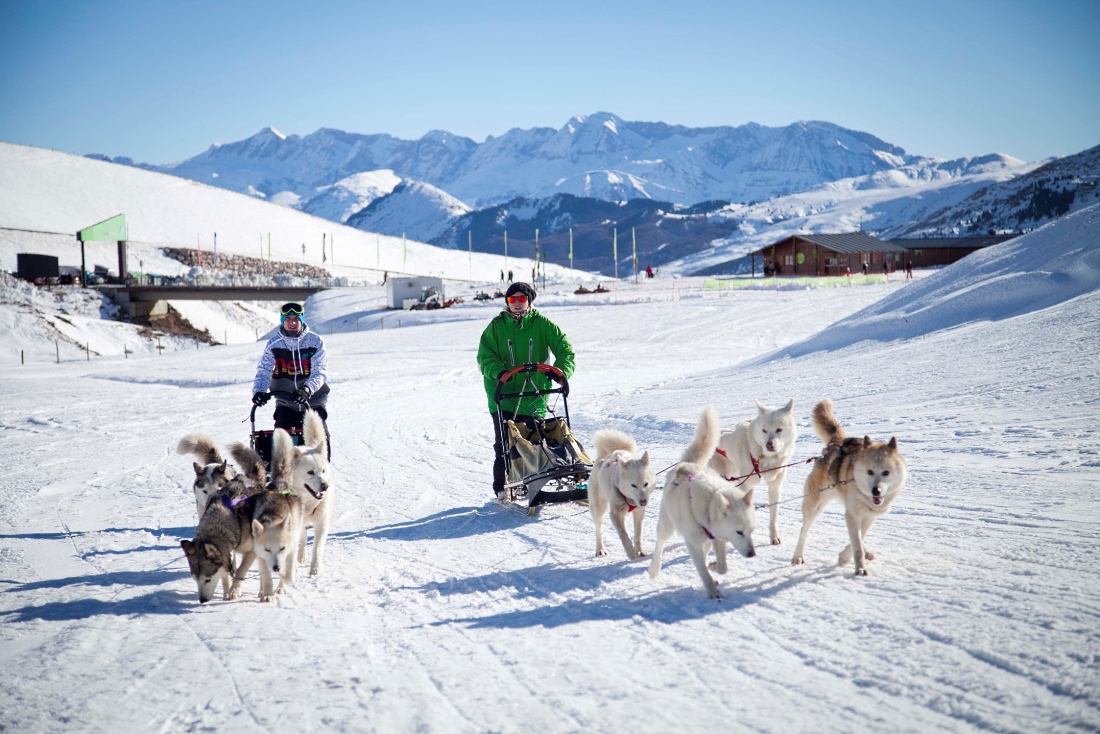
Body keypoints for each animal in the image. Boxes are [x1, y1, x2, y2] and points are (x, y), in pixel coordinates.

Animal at [247, 431, 303, 603]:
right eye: (267, 549)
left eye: (282, 548)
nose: (276, 567)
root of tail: (280, 484)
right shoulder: (261, 555)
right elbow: (266, 577)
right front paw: (267, 593)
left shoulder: (290, 549)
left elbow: (289, 575)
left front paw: (283, 582)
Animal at [594, 426, 651, 559]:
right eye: (633, 485)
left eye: (646, 484)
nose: (643, 502)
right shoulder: (614, 514)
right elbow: (623, 534)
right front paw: (631, 552)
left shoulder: (639, 512)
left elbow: (638, 534)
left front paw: (640, 550)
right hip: (598, 508)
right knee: (599, 530)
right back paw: (600, 549)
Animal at [651, 404, 756, 598]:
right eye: (739, 532)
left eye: (751, 531)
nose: (752, 554)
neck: (707, 505)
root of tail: (685, 464)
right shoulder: (693, 543)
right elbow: (702, 570)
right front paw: (712, 592)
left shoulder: (718, 538)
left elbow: (722, 567)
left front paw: (713, 568)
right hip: (667, 526)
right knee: (660, 543)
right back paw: (654, 568)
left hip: (706, 541)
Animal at [708, 402, 796, 545]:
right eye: (764, 430)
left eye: (779, 429)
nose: (769, 445)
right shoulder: (746, 485)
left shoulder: (775, 486)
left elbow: (774, 515)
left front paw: (774, 537)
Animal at [796, 398, 906, 576]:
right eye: (870, 471)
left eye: (886, 472)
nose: (876, 491)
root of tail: (837, 444)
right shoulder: (853, 515)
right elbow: (857, 544)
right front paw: (859, 568)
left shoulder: (868, 516)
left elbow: (860, 538)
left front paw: (847, 557)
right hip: (814, 505)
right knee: (804, 530)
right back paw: (797, 556)